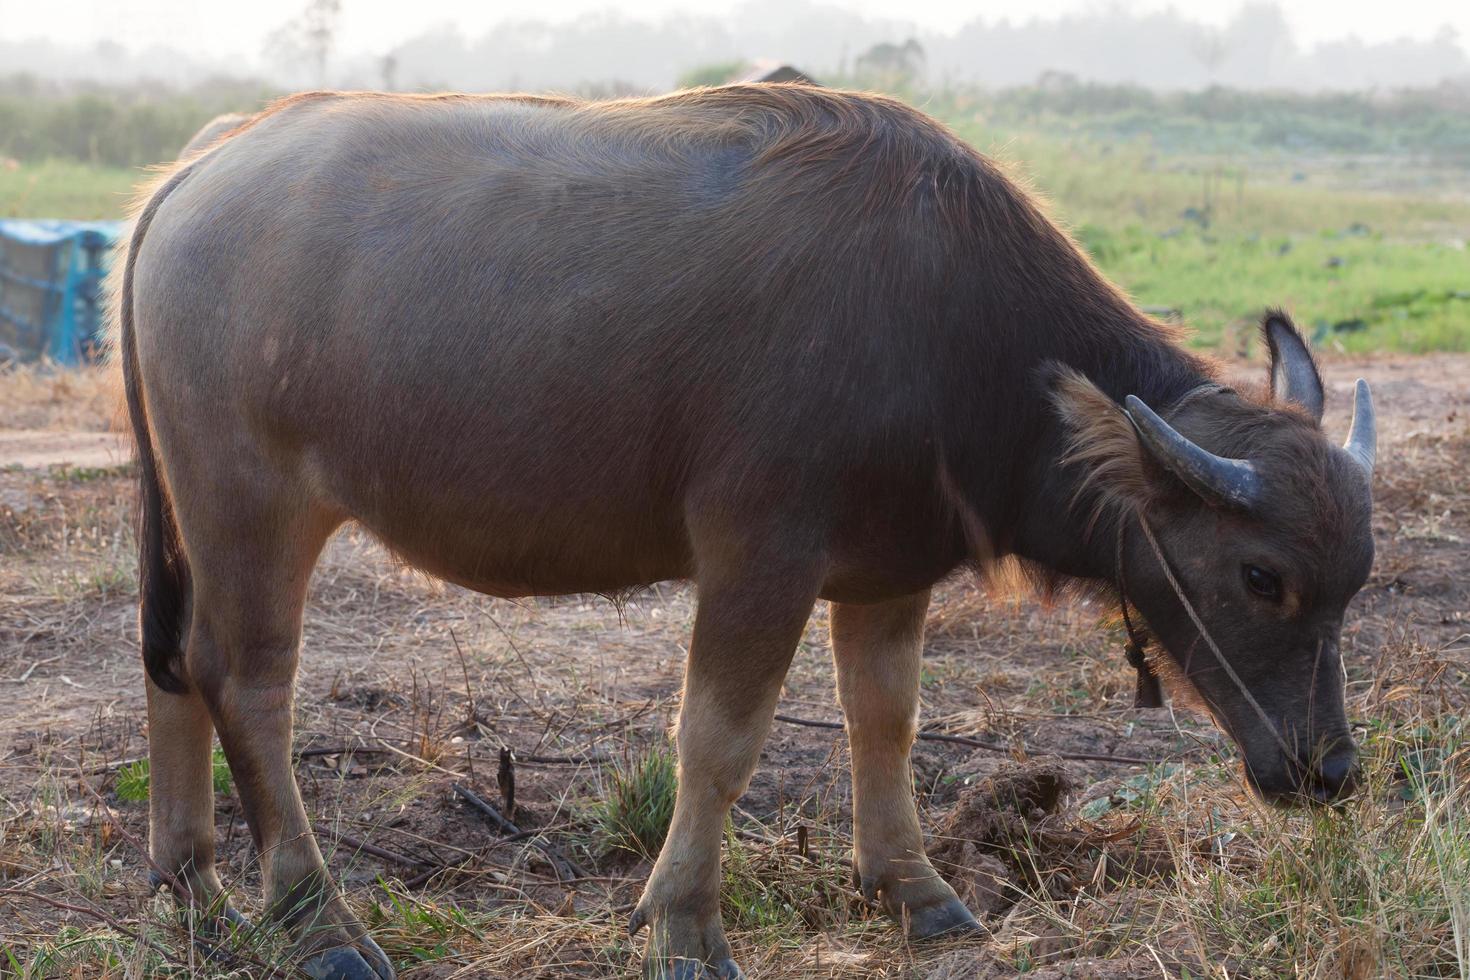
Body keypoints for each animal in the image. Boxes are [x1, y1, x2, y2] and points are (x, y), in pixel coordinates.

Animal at [117, 88, 1375, 975]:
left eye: (1352, 583)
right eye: (1262, 576)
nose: (1329, 771)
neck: (955, 331)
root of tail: (199, 168)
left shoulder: (889, 570)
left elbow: (886, 720)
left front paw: (916, 888)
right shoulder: (758, 554)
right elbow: (719, 741)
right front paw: (682, 922)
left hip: (184, 508)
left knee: (173, 661)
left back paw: (196, 889)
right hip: (250, 502)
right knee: (247, 681)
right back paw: (314, 919)